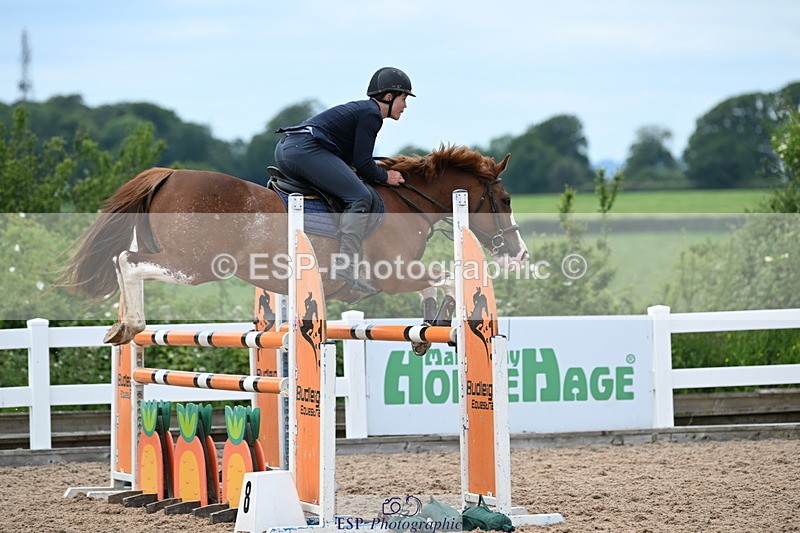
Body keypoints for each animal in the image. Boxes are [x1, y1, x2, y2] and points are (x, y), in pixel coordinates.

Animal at [60, 145, 528, 345]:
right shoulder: (391, 276)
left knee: (127, 261)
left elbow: (435, 286)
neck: (408, 202)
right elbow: (447, 279)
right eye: (505, 200)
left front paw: (428, 327)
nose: (519, 253)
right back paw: (129, 325)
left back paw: (120, 326)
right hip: (193, 265)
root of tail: (170, 174)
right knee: (128, 260)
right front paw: (445, 317)